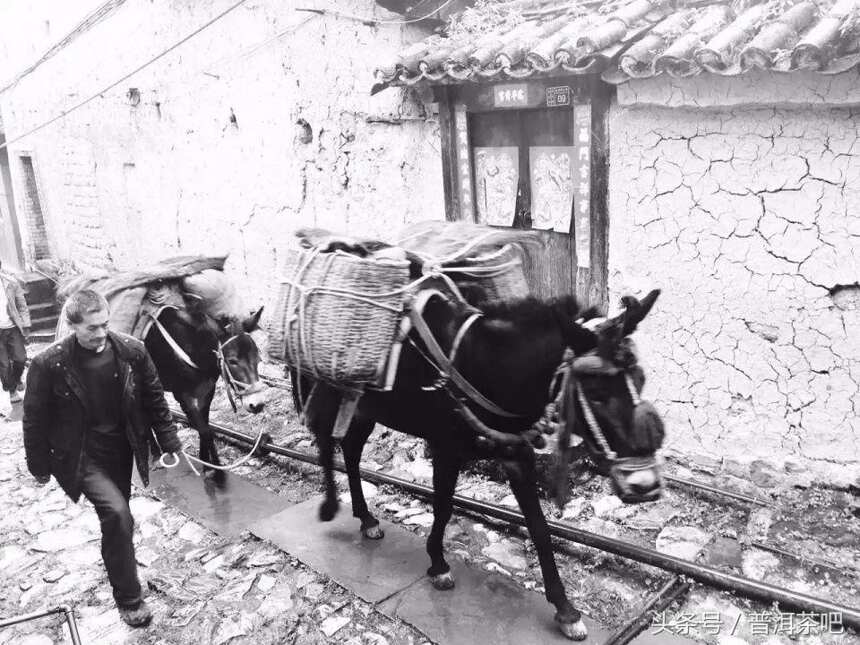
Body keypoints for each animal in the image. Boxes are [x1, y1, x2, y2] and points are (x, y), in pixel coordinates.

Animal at [144, 304, 268, 478]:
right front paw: (211, 470)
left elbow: (206, 428)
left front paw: (212, 465)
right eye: (232, 361)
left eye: (258, 358)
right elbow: (203, 429)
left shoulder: (207, 391)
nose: (257, 404)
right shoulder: (183, 396)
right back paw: (155, 456)